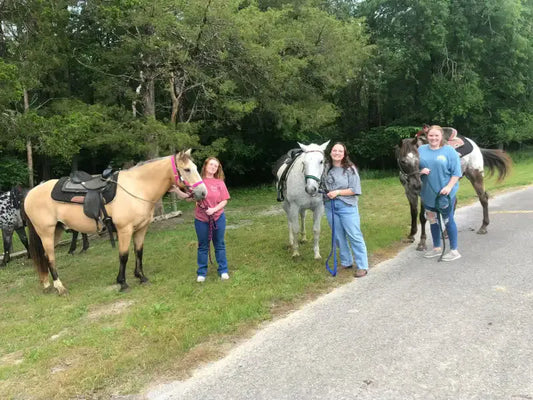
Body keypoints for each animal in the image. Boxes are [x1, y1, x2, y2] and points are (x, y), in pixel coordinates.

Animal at [22, 150, 206, 294]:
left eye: (196, 168)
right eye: (187, 169)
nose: (203, 192)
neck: (138, 187)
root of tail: (31, 192)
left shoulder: (141, 229)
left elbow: (139, 252)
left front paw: (141, 277)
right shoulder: (125, 230)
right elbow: (123, 256)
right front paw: (122, 283)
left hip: (56, 231)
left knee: (45, 256)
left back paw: (47, 284)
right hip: (46, 232)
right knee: (50, 257)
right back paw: (60, 287)